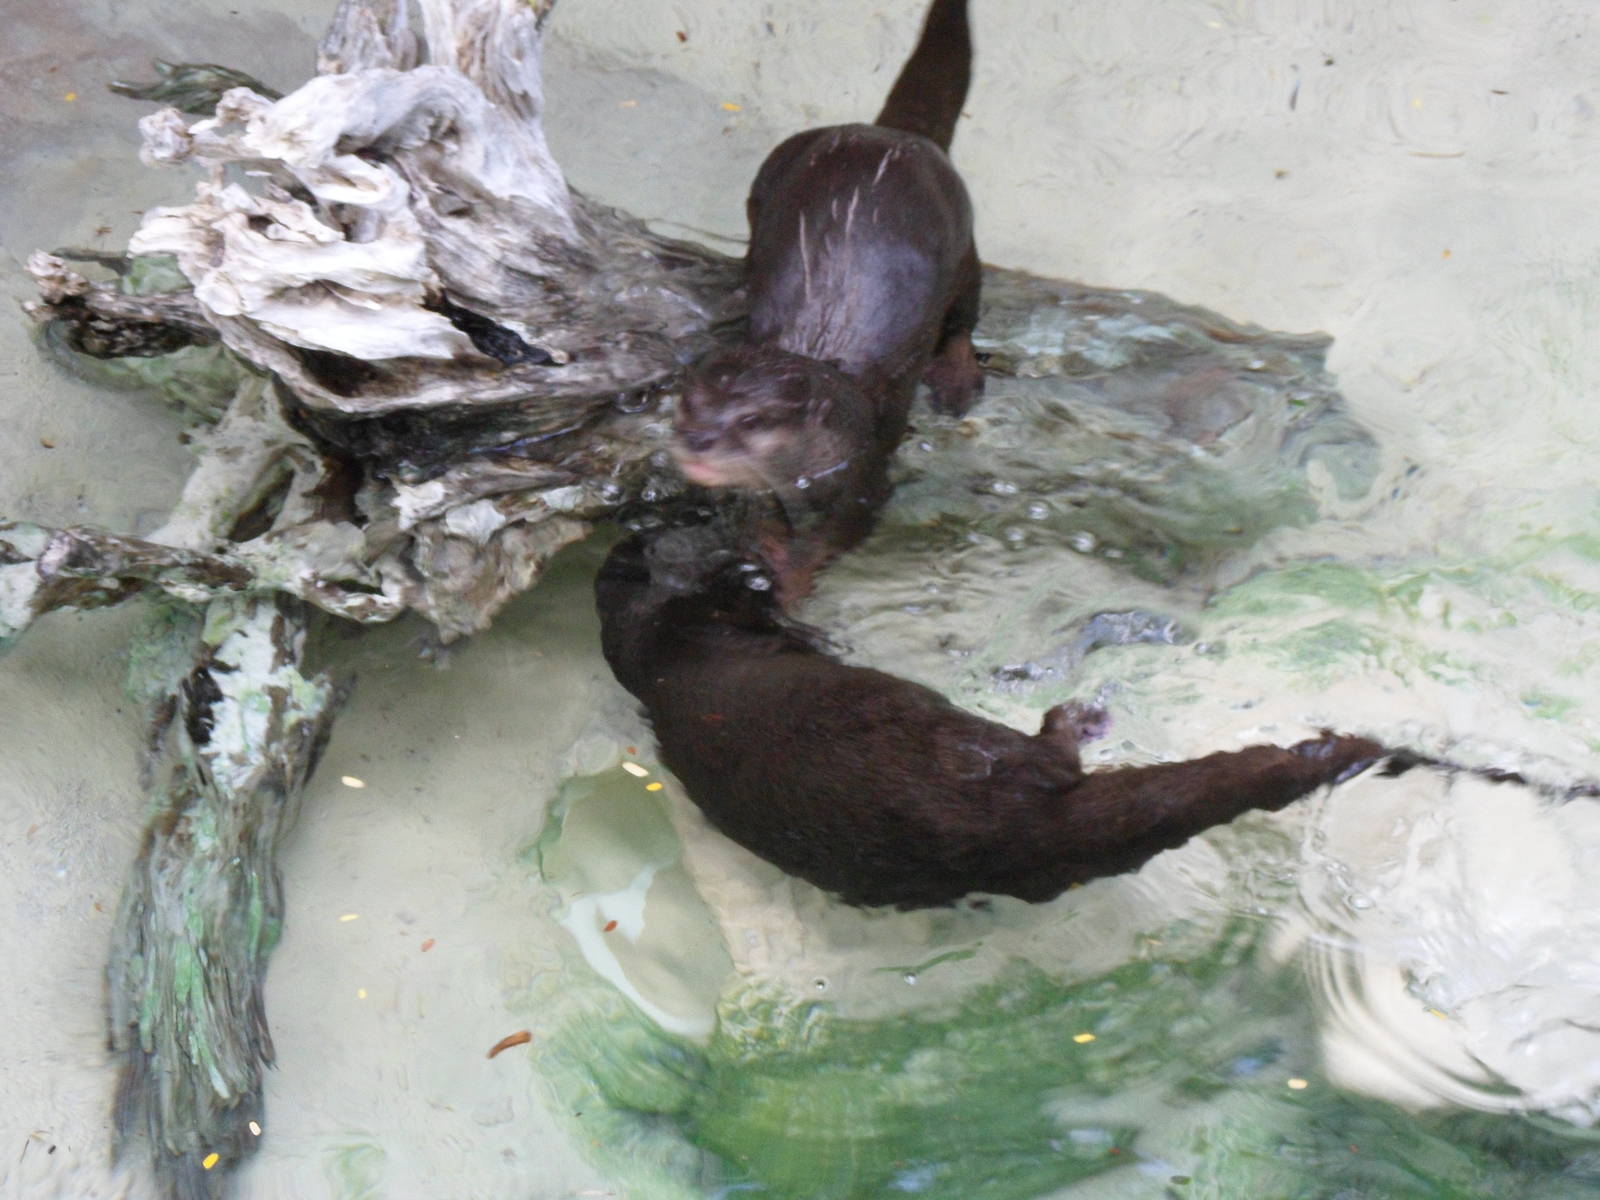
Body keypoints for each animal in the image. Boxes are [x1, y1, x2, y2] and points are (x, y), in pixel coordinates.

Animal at [595, 530, 1392, 910]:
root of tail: (1018, 825)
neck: (670, 653)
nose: (701, 522)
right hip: (972, 747)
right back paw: (1079, 718)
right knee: (1051, 754)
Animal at [674, 0, 984, 596]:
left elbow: (843, 530)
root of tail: (896, 134)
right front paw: (764, 539)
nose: (697, 438)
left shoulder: (866, 475)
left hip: (965, 245)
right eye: (687, 403)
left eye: (753, 421)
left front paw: (792, 575)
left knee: (964, 316)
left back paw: (958, 377)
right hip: (772, 175)